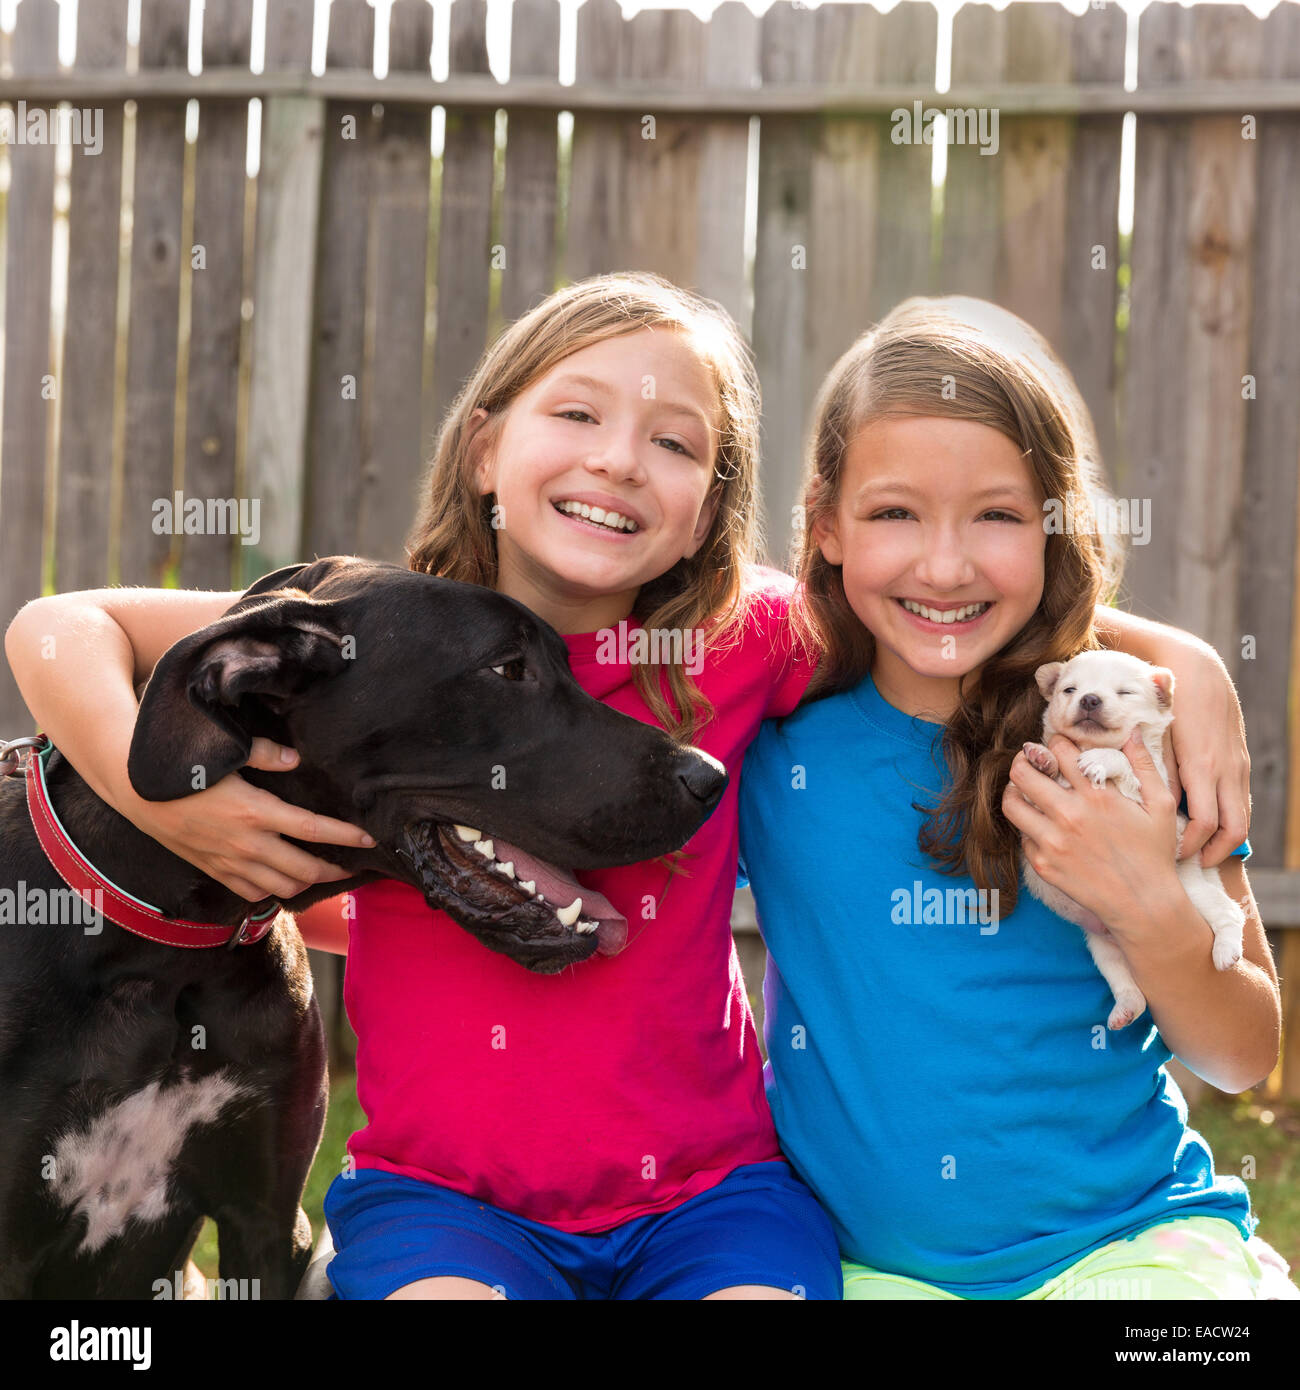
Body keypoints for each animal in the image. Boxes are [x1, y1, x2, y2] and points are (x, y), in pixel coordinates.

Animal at [1023, 650, 1245, 1034]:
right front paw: (1043, 757)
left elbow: (1124, 761)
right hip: (1103, 946)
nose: (1090, 699)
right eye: (1070, 690)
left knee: (1231, 912)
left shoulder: (1150, 794)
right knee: (1128, 985)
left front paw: (1101, 760)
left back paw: (1226, 951)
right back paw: (1125, 1009)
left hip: (1191, 894)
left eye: (1125, 692)